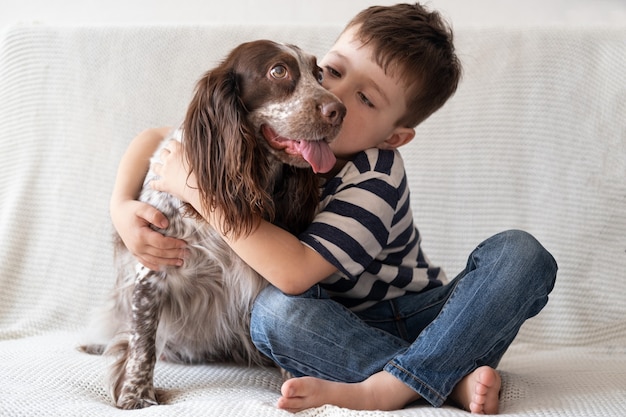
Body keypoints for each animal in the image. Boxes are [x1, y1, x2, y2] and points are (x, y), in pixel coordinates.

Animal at [80, 40, 344, 408]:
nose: (340, 110)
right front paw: (136, 395)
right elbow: (142, 343)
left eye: (319, 74)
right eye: (278, 71)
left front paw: (300, 386)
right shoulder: (151, 272)